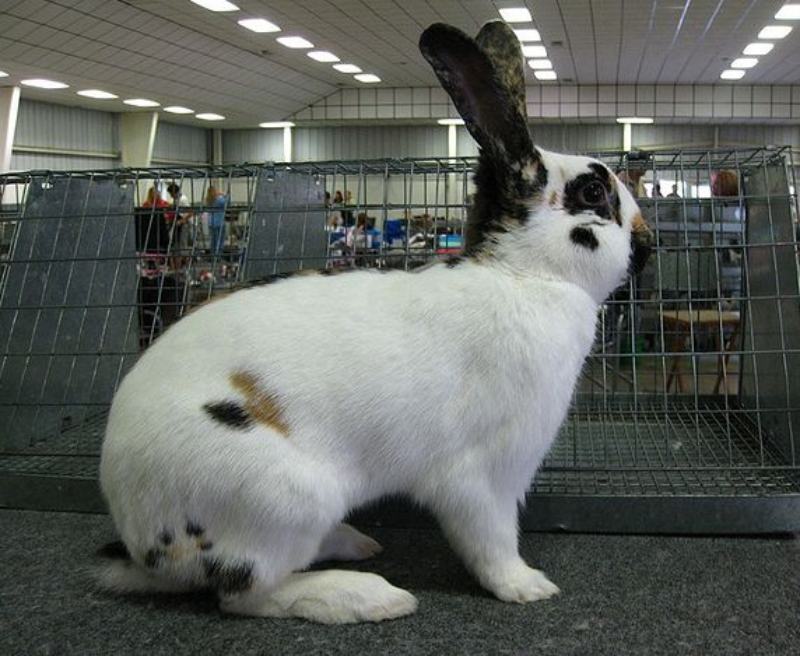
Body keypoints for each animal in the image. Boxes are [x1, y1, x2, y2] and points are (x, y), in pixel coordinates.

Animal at [97, 20, 652, 624]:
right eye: (594, 192)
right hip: (282, 499)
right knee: (247, 594)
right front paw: (527, 586)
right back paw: (371, 595)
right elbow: (491, 542)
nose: (648, 245)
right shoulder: (482, 476)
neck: (524, 273)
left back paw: (357, 544)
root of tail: (139, 541)